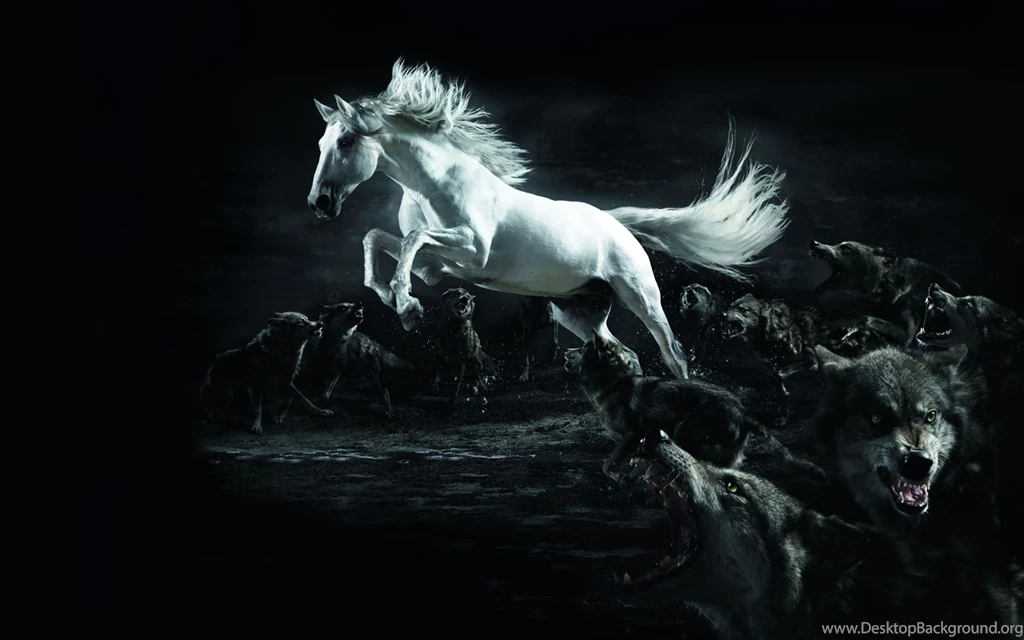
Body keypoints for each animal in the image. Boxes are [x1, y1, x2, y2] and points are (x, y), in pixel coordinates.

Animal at [200, 311, 333, 434]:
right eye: (301, 323)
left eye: (308, 319)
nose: (320, 324)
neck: (282, 352)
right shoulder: (255, 385)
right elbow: (258, 409)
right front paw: (257, 425)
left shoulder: (288, 381)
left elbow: (301, 399)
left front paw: (318, 411)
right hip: (227, 389)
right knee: (212, 410)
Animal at [306, 59, 790, 380]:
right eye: (321, 142)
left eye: (346, 141)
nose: (319, 203)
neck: (434, 183)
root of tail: (617, 225)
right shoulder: (436, 266)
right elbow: (378, 239)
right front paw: (396, 300)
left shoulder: (472, 252)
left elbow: (410, 239)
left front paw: (406, 305)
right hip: (580, 313)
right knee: (627, 354)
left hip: (641, 297)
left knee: (673, 353)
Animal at [573, 332, 766, 485]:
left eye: (582, 349)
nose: (567, 352)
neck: (613, 382)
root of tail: (743, 414)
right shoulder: (646, 437)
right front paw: (631, 478)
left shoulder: (633, 434)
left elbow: (606, 464)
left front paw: (620, 477)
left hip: (683, 432)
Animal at [720, 292, 905, 425]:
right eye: (731, 306)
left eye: (743, 310)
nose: (722, 314)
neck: (776, 330)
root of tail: (864, 318)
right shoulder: (777, 365)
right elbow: (778, 383)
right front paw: (783, 413)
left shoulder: (811, 361)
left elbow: (780, 375)